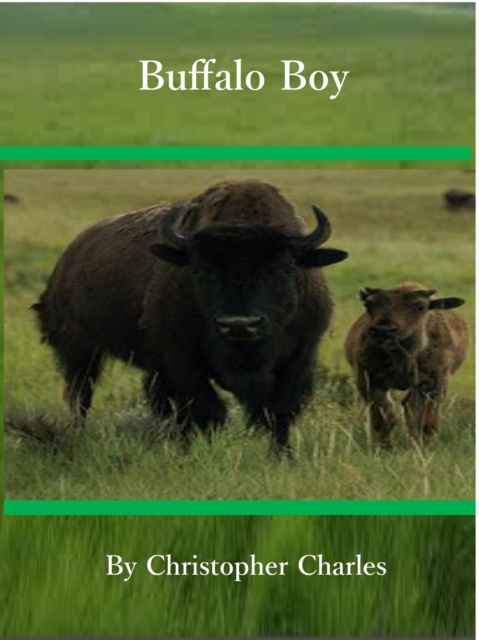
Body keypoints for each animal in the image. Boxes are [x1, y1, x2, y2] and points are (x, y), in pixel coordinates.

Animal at [33, 180, 348, 453]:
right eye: (198, 270)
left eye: (286, 268)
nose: (239, 325)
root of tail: (68, 258)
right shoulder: (181, 358)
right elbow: (205, 410)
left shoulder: (301, 355)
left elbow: (278, 412)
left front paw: (282, 458)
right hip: (79, 350)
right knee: (80, 395)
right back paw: (79, 435)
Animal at [344, 283, 468, 447]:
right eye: (368, 304)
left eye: (421, 306)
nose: (383, 330)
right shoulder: (369, 381)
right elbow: (383, 418)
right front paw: (385, 448)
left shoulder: (435, 382)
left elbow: (427, 421)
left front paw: (425, 446)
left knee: (411, 410)